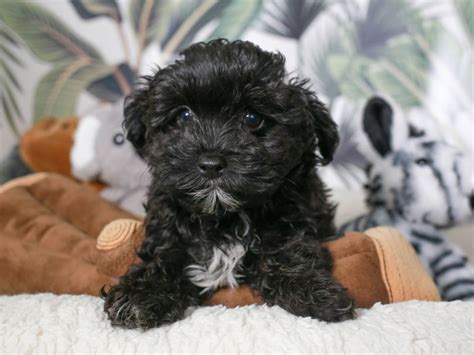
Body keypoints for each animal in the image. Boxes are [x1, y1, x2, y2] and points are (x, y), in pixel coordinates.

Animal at [104, 39, 356, 330]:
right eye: (183, 116)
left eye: (252, 119)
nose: (211, 163)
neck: (226, 216)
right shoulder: (167, 227)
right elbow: (164, 256)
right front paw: (140, 295)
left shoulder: (300, 216)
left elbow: (291, 249)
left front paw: (315, 292)